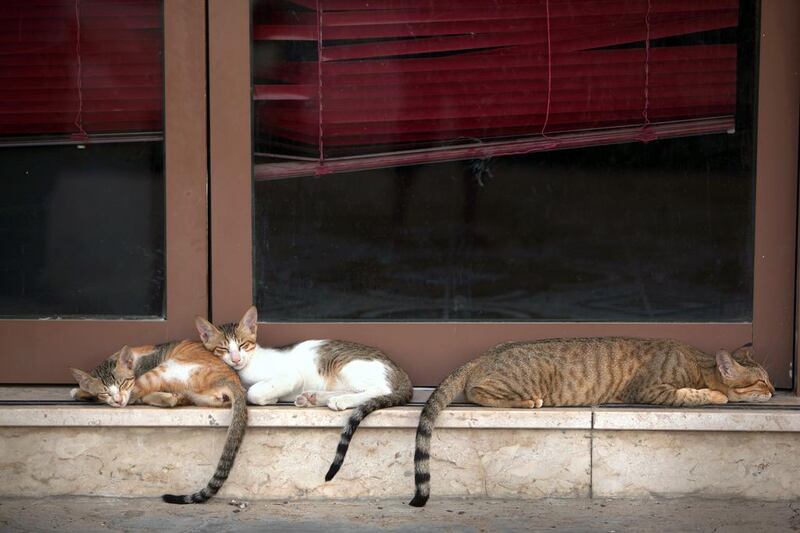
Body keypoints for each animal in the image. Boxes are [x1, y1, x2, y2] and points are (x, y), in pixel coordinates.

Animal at [70, 340, 248, 502]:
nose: (117, 400)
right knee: (175, 399)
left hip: (166, 370)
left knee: (144, 394)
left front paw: (79, 391)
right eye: (105, 392)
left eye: (123, 384)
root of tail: (231, 381)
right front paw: (86, 391)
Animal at [195, 306, 412, 480]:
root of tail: (398, 369)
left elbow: (254, 392)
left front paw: (270, 397)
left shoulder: (292, 376)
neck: (248, 365)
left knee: (379, 389)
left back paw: (341, 400)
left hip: (348, 366)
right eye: (223, 348)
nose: (236, 359)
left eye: (242, 345)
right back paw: (315, 397)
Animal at [410, 336, 772, 508]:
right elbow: (693, 395)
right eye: (761, 382)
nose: (771, 390)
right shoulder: (650, 390)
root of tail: (481, 356)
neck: (699, 364)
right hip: (517, 383)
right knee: (476, 392)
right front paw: (716, 395)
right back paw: (526, 401)